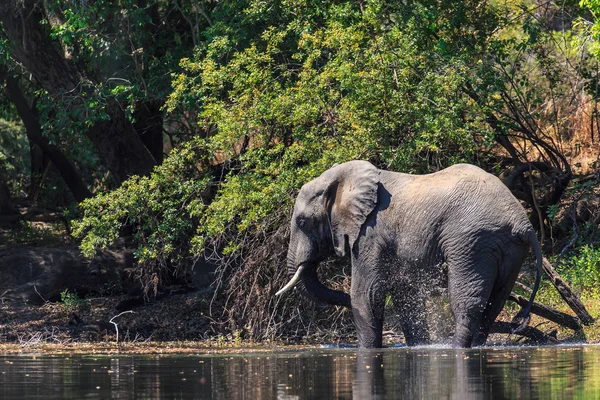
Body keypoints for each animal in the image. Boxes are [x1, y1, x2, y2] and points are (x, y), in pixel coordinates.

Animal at [276, 159, 544, 346]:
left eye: (302, 222)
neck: (345, 178)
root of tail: (523, 222)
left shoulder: (371, 233)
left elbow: (366, 294)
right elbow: (404, 295)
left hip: (472, 241)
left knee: (466, 303)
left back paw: (457, 348)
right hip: (509, 249)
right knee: (495, 303)